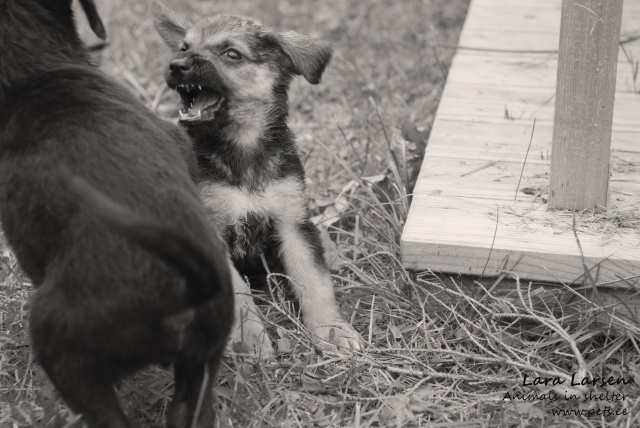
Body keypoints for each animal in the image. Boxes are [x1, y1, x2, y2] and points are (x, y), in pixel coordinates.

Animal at [152, 2, 363, 354]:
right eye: (184, 48)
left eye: (231, 54)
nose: (176, 65)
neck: (243, 148)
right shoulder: (213, 234)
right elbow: (239, 295)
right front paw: (249, 340)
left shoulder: (293, 223)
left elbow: (314, 281)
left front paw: (332, 330)